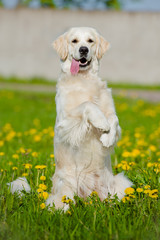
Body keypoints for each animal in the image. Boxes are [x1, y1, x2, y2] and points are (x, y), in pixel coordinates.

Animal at [45, 27, 132, 209]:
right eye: (74, 41)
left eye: (90, 41)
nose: (83, 50)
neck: (83, 78)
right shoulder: (65, 123)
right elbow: (87, 104)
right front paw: (101, 122)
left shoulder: (110, 109)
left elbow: (114, 118)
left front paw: (107, 137)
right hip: (65, 188)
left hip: (119, 183)